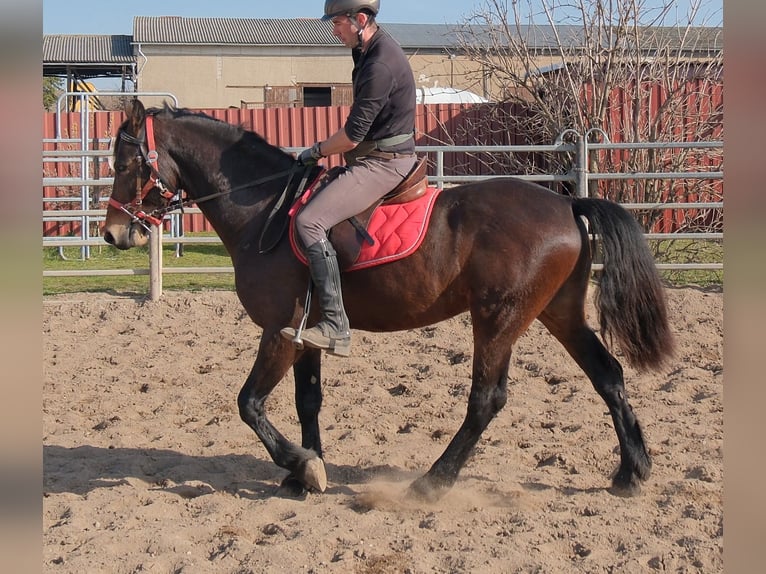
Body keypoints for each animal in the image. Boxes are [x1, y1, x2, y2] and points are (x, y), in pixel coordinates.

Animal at [103, 99, 674, 501]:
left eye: (126, 161)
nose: (111, 234)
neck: (266, 208)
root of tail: (566, 203)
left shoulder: (279, 332)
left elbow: (248, 403)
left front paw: (302, 466)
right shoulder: (305, 336)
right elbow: (306, 400)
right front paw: (304, 471)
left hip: (498, 318)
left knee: (487, 399)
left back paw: (432, 482)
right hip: (558, 313)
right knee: (607, 376)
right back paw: (631, 471)